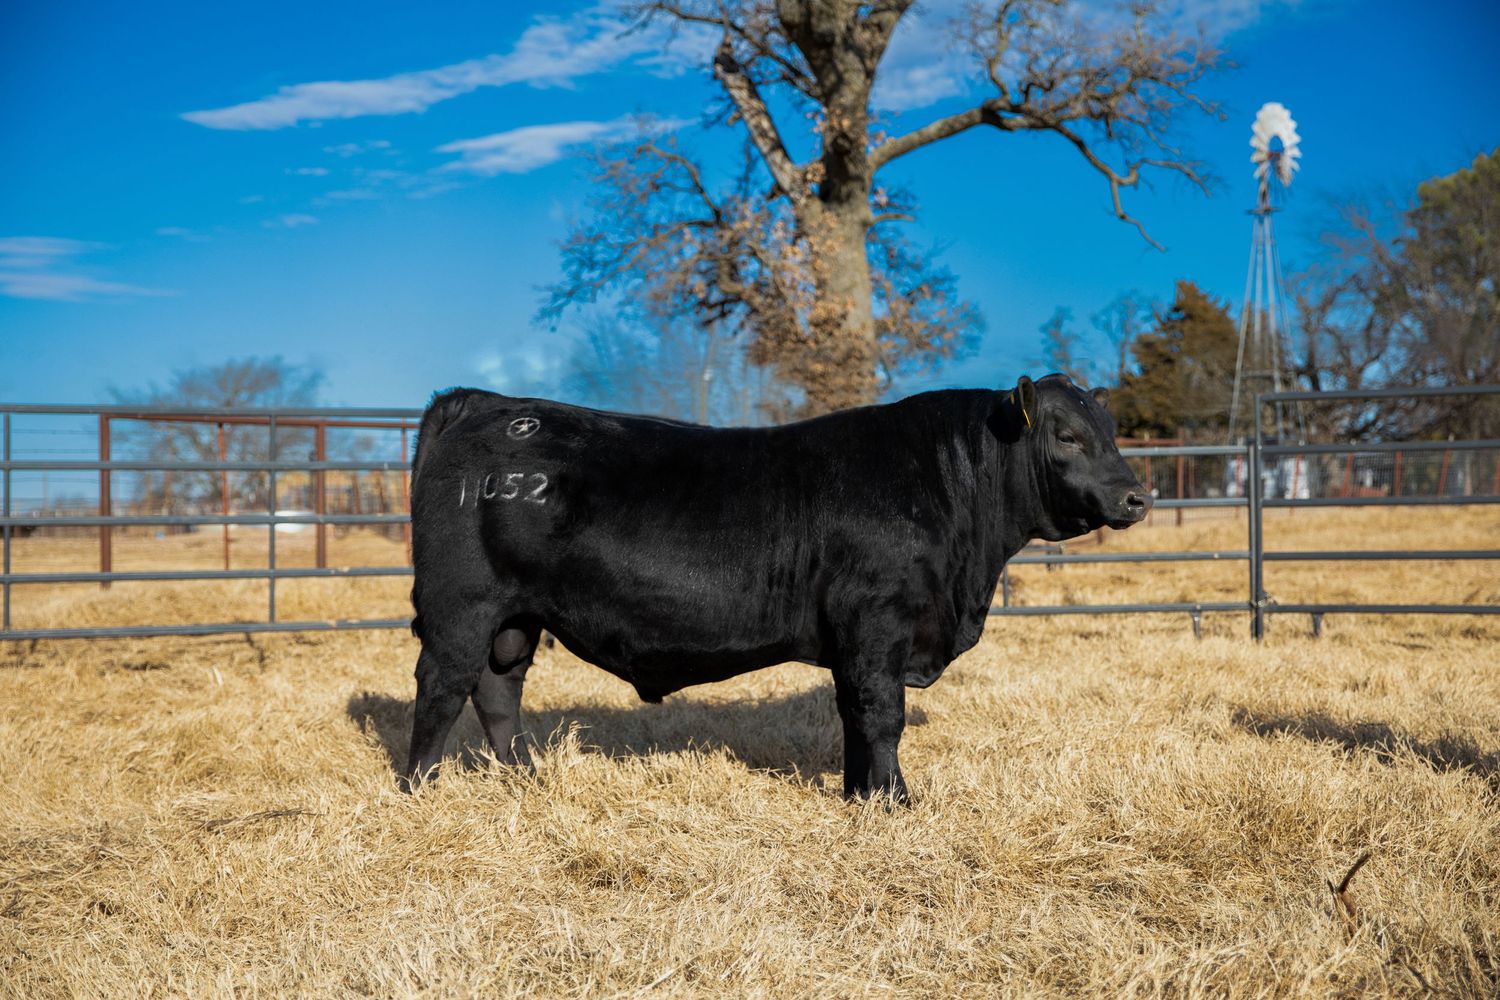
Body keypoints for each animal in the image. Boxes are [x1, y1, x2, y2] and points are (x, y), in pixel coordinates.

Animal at [404, 374, 1150, 800]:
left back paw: (523, 780)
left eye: (1112, 432)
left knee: (499, 690)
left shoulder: (859, 641)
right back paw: (422, 789)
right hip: (461, 607)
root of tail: (487, 404)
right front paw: (895, 802)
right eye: (1067, 435)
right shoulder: (878, 622)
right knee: (442, 689)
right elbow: (882, 715)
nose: (1137, 496)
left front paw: (860, 795)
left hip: (515, 617)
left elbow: (854, 716)